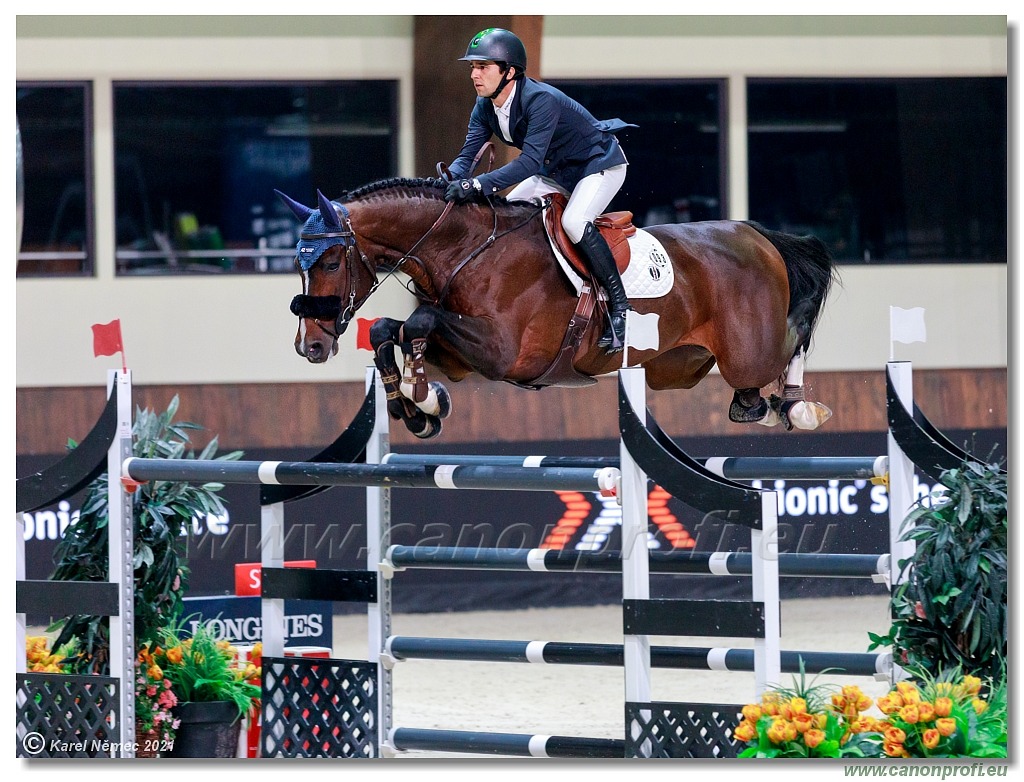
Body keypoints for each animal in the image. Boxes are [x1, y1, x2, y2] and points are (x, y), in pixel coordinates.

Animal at [276, 179, 835, 442]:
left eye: (329, 261)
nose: (310, 346)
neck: (467, 248)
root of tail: (757, 235)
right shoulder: (461, 358)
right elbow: (389, 331)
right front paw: (418, 407)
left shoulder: (503, 352)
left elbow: (419, 321)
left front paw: (421, 398)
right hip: (678, 368)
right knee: (749, 401)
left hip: (747, 351)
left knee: (788, 348)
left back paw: (799, 407)